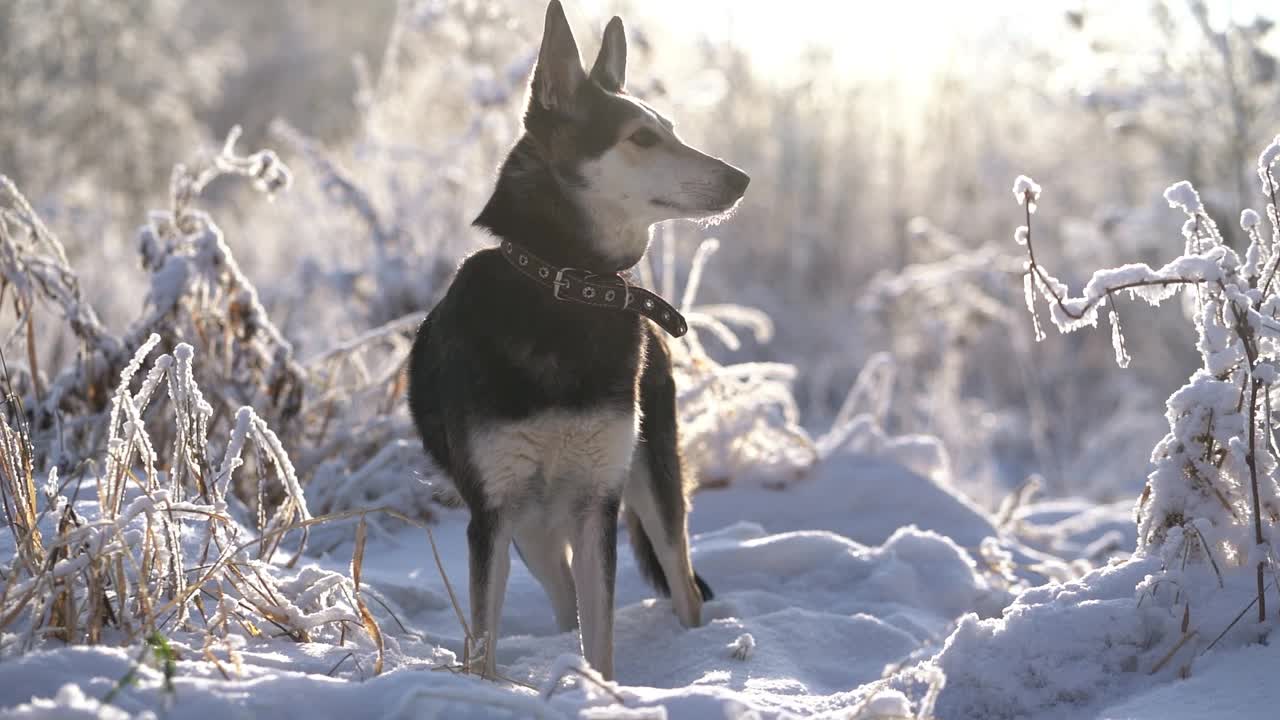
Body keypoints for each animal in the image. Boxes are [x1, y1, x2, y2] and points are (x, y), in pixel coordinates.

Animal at [407, 0, 747, 676]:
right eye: (642, 138)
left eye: (672, 129)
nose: (742, 178)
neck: (569, 288)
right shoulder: (493, 510)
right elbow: (485, 640)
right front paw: (488, 687)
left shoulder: (598, 503)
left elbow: (604, 635)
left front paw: (602, 688)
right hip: (531, 525)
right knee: (563, 596)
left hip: (651, 474)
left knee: (682, 583)